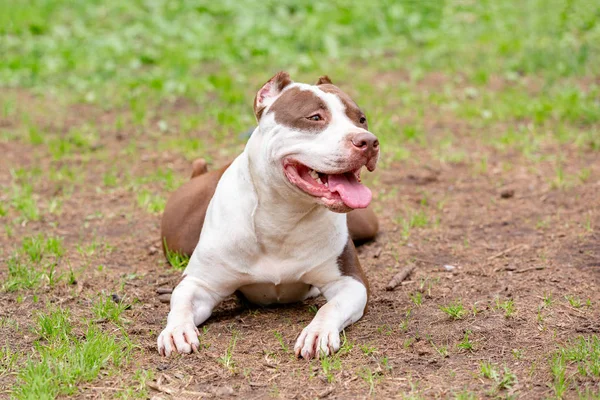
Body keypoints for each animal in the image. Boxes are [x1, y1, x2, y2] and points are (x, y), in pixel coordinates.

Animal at [156, 72, 380, 360]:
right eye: (315, 117)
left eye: (361, 119)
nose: (369, 141)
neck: (283, 215)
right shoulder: (200, 283)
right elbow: (181, 302)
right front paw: (176, 331)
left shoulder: (350, 282)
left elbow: (330, 307)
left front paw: (317, 332)